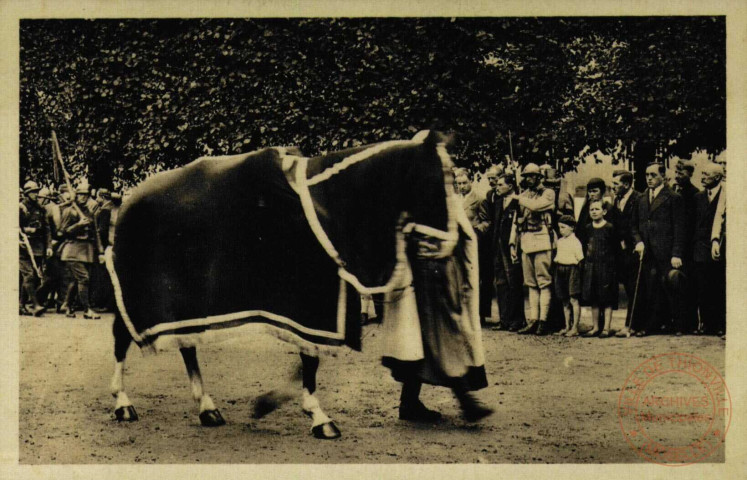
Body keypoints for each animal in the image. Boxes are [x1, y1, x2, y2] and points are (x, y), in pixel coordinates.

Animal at [102, 130, 482, 438]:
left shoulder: (323, 306)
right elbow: (309, 358)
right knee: (122, 336)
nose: (450, 244)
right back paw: (123, 402)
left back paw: (207, 407)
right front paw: (316, 416)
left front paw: (274, 404)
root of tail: (128, 200)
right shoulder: (312, 303)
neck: (330, 201)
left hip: (187, 302)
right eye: (437, 182)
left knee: (187, 345)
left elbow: (308, 359)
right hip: (136, 296)